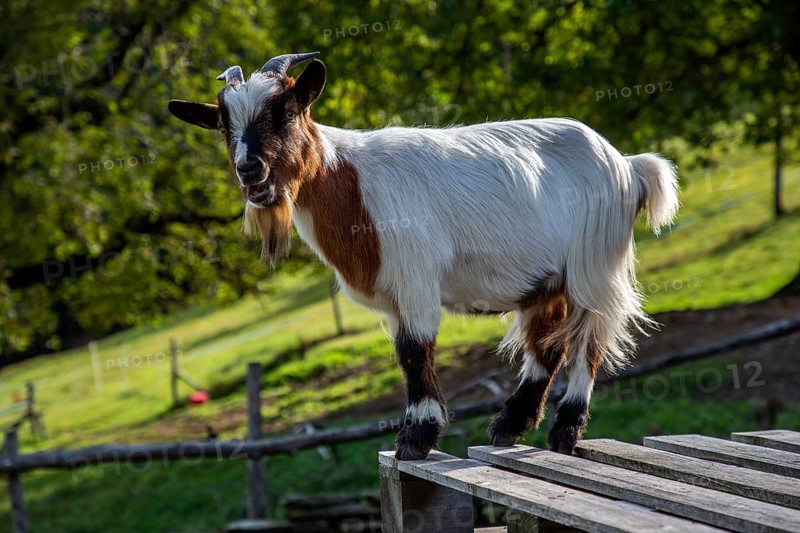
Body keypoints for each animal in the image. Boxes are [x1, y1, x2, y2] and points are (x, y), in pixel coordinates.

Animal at [168, 52, 680, 459]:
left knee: (591, 340)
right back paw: (508, 427)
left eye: (286, 112)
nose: (249, 170)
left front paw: (417, 438)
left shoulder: (415, 281)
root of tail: (628, 164)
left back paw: (565, 430)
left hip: (595, 264)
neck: (351, 185)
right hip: (547, 279)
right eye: (224, 126)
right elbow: (404, 354)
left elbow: (414, 351)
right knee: (548, 344)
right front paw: (416, 432)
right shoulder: (394, 299)